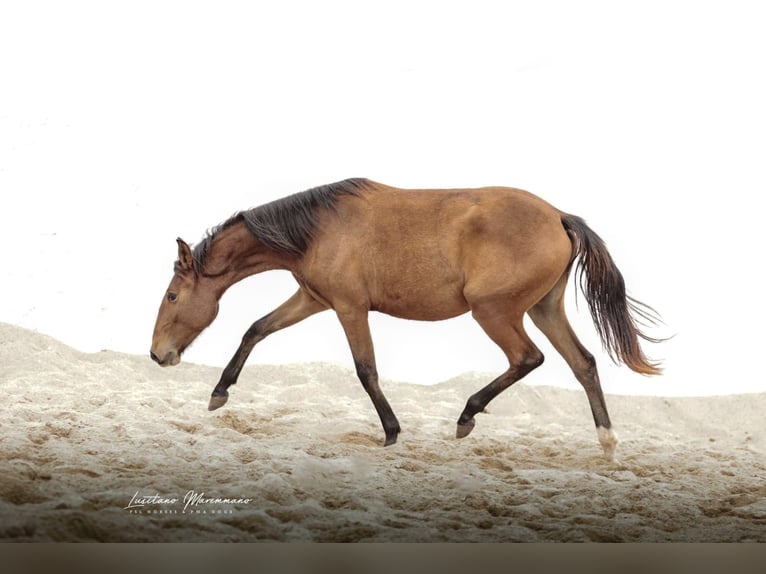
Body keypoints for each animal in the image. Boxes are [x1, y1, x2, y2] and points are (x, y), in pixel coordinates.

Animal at [150, 178, 662, 459]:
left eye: (173, 295)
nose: (157, 355)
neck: (316, 230)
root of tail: (558, 215)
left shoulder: (349, 308)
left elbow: (366, 370)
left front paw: (392, 433)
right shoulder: (312, 299)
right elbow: (256, 328)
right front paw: (219, 394)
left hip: (494, 311)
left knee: (528, 358)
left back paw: (466, 416)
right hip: (544, 308)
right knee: (583, 363)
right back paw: (607, 443)